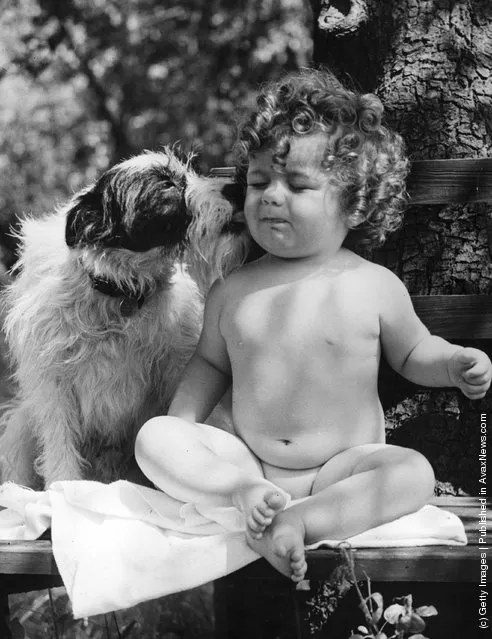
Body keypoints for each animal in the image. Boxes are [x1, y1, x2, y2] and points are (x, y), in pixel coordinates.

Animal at [0, 151, 248, 490]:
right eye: (167, 184)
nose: (237, 187)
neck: (120, 294)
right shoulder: (53, 384)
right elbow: (60, 443)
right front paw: (64, 489)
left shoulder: (177, 368)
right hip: (20, 428)